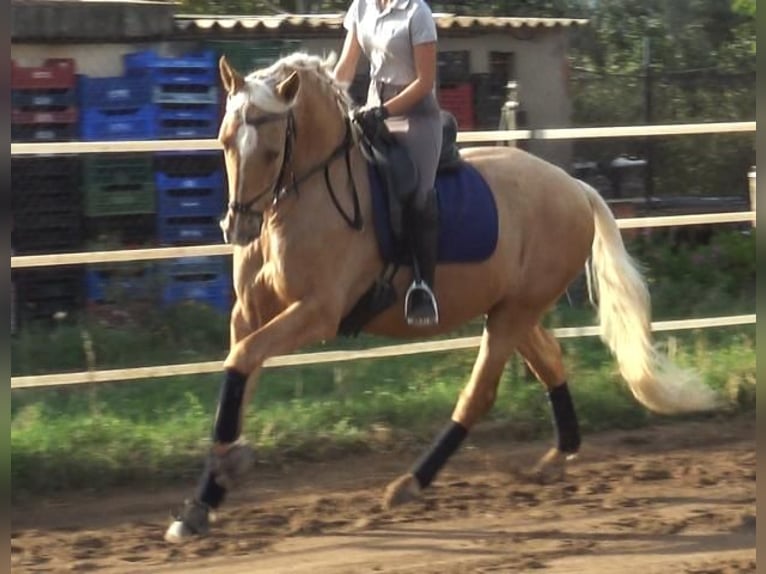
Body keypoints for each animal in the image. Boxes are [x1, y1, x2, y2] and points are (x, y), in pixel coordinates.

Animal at [162, 51, 720, 544]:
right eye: (225, 140)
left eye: (273, 150)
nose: (239, 228)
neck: (303, 199)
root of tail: (574, 187)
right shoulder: (250, 313)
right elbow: (239, 374)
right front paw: (202, 503)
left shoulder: (317, 313)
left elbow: (242, 362)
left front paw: (229, 465)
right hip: (511, 309)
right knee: (551, 362)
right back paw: (557, 458)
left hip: (513, 315)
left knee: (479, 394)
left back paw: (412, 483)